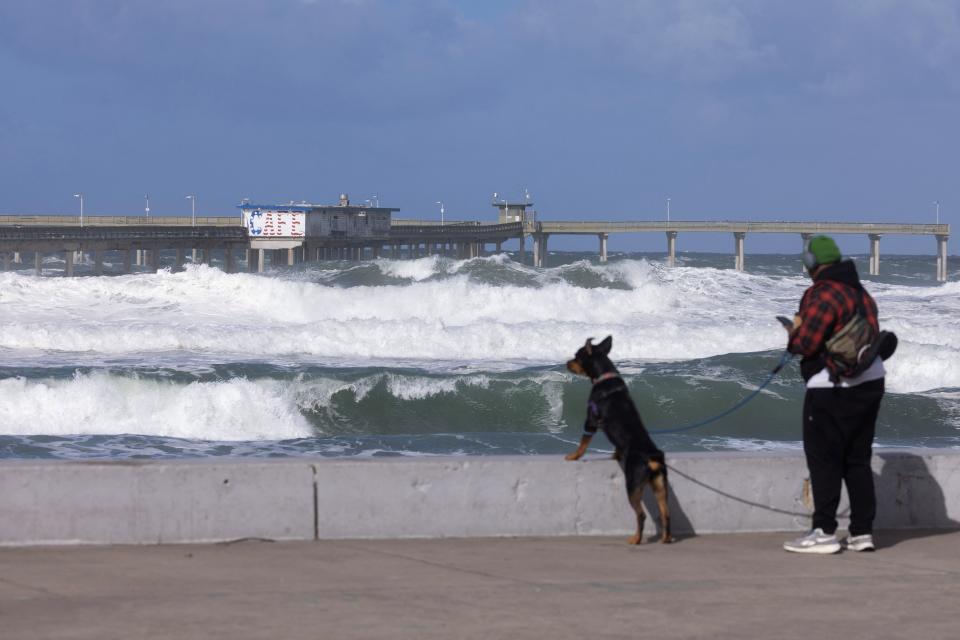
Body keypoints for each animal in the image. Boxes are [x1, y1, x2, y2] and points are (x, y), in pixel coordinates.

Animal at [564, 336, 676, 544]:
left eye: (577, 356)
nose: (566, 363)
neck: (604, 377)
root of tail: (651, 457)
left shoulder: (590, 421)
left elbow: (583, 443)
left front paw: (573, 456)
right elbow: (616, 446)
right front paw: (615, 455)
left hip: (632, 483)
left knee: (641, 514)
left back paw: (636, 539)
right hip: (660, 484)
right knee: (666, 513)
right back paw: (666, 539)